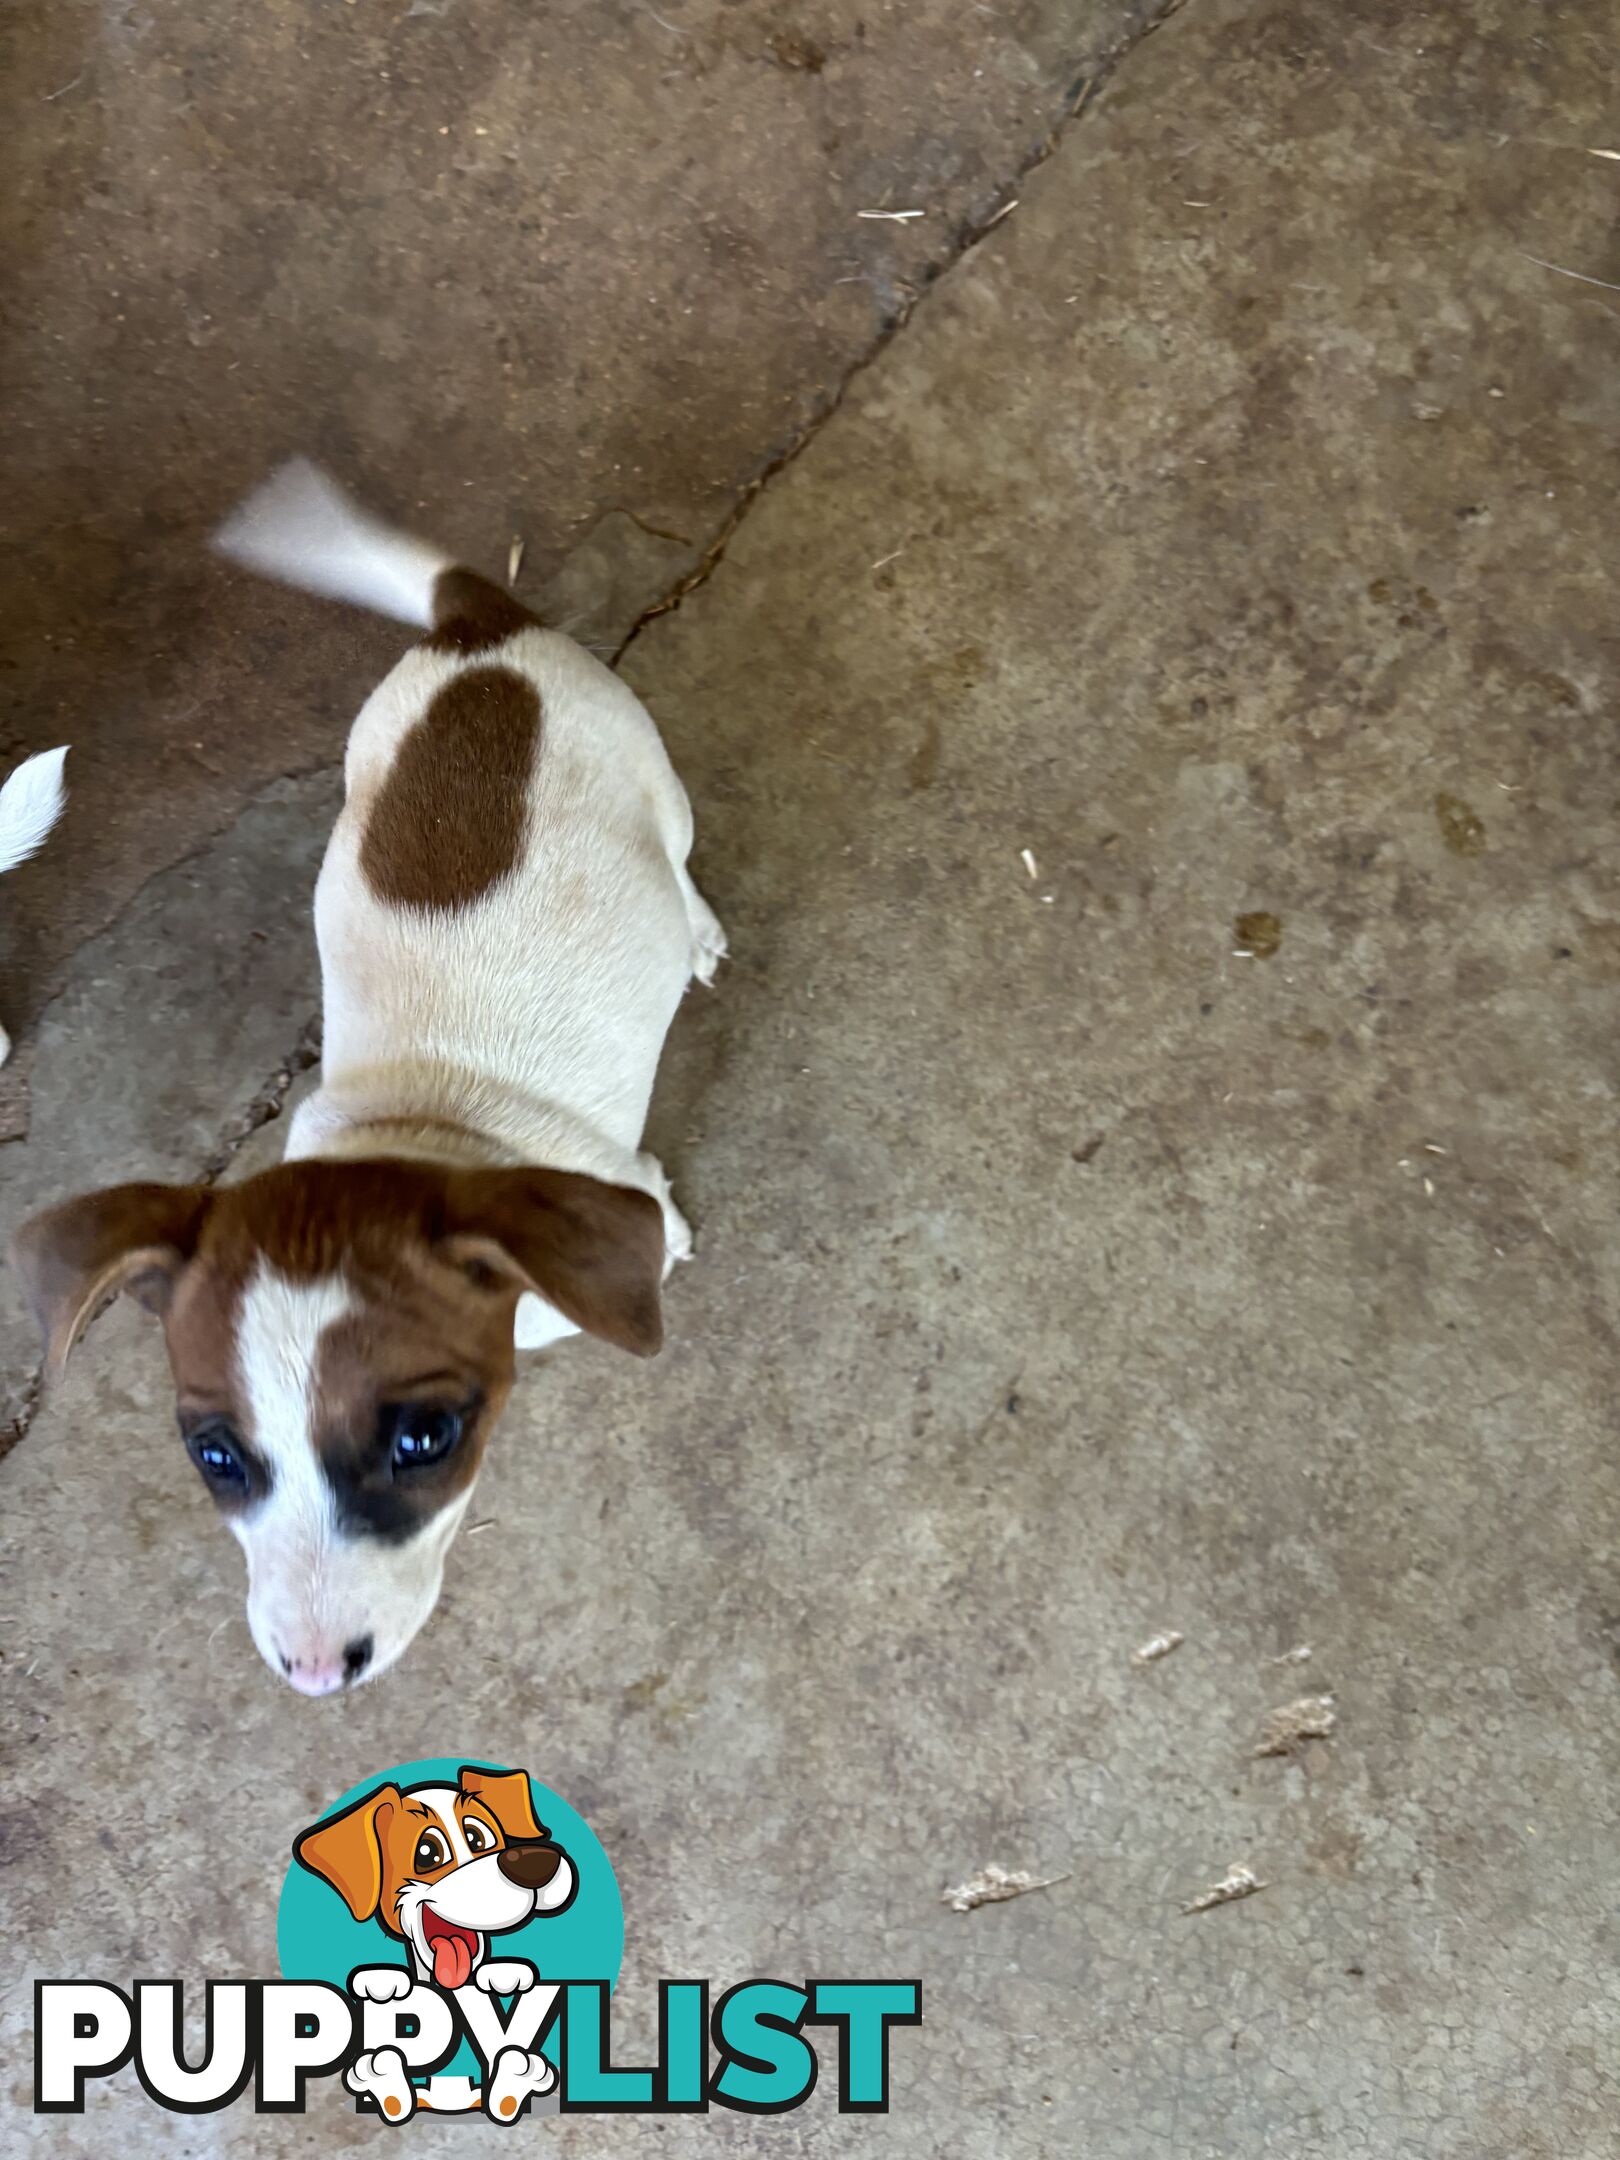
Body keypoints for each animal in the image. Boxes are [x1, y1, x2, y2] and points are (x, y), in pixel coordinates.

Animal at [11, 464, 721, 1693]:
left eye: (422, 1439)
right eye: (215, 1455)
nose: (310, 1673)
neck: (422, 1124)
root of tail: (476, 629)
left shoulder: (641, 1210)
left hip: (652, 779)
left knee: (675, 859)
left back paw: (695, 929)